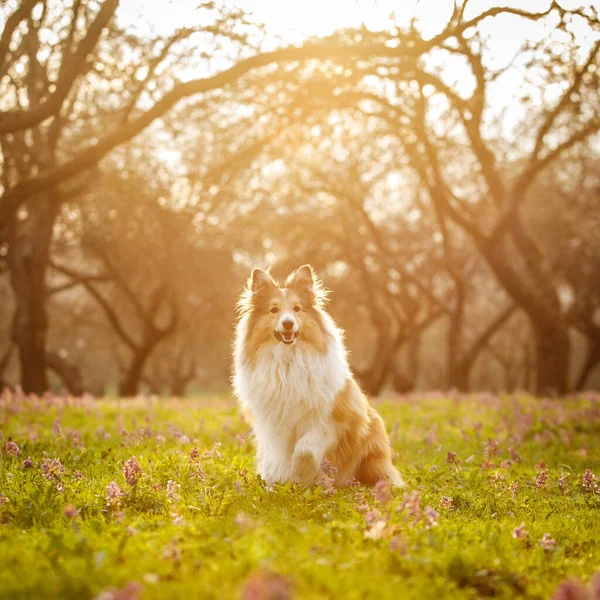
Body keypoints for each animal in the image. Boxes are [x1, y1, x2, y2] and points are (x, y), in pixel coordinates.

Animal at [232, 266, 406, 488]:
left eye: (297, 309)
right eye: (274, 310)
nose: (288, 324)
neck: (289, 359)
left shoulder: (331, 417)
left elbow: (304, 450)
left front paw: (304, 479)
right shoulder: (274, 424)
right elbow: (279, 456)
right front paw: (279, 483)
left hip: (372, 448)